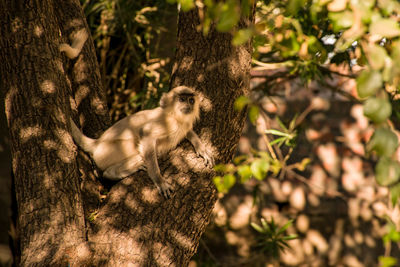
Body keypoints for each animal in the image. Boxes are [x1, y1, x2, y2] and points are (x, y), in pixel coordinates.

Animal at [71, 86, 216, 199]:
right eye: (181, 99)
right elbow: (146, 133)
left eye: (191, 100)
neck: (173, 116)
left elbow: (187, 131)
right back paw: (114, 172)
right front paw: (159, 180)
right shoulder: (167, 123)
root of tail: (97, 143)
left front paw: (202, 149)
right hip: (107, 152)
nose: (188, 105)